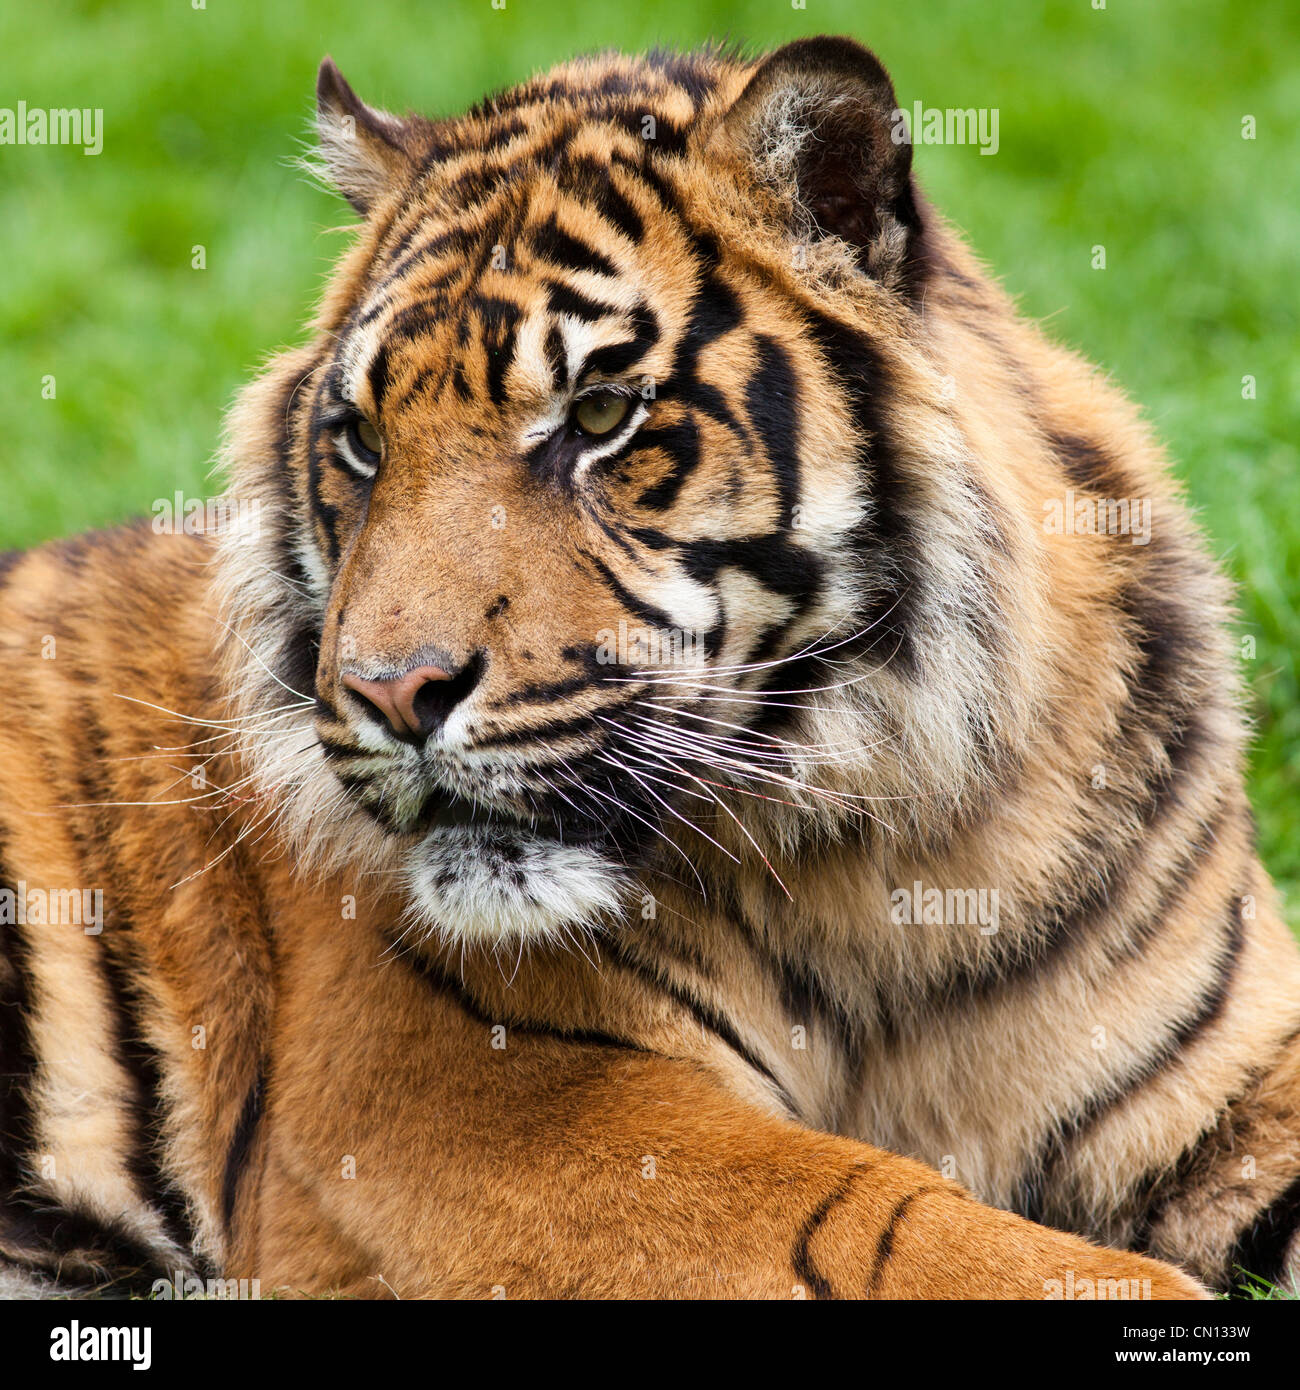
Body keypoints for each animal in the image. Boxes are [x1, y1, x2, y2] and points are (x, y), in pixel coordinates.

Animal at [0, 35, 1295, 1301]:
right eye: (362, 441)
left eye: (599, 414)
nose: (389, 691)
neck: (892, 858)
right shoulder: (441, 1108)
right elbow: (885, 1221)